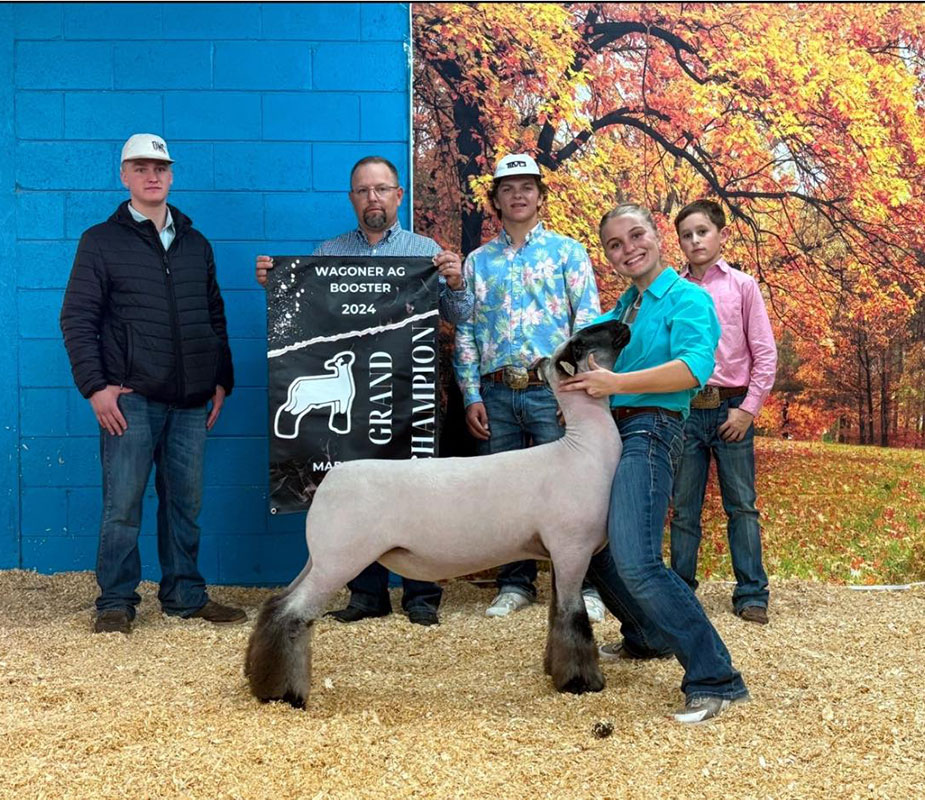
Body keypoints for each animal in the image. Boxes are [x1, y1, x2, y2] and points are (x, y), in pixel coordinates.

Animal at [245, 318, 630, 709]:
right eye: (581, 343)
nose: (621, 324)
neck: (582, 449)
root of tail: (329, 481)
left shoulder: (556, 553)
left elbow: (556, 615)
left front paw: (555, 671)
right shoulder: (572, 548)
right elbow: (572, 616)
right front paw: (582, 682)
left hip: (321, 557)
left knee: (276, 604)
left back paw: (257, 676)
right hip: (339, 559)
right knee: (294, 614)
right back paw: (284, 693)